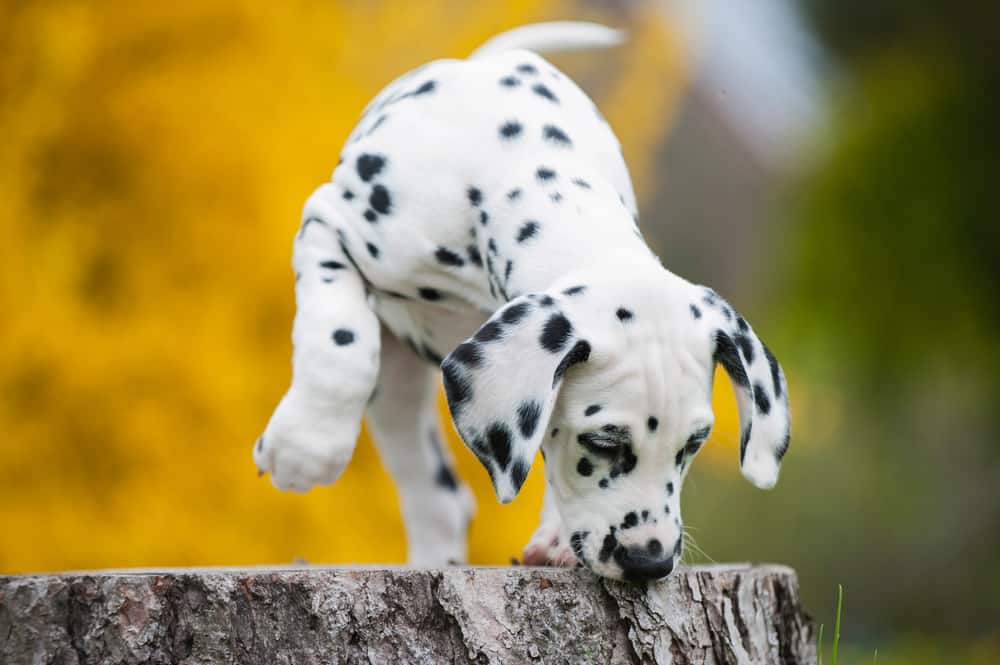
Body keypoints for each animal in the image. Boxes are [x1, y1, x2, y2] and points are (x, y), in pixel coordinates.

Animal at [254, 22, 792, 580]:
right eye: (604, 441)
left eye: (693, 443)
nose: (651, 562)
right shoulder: (328, 224)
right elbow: (340, 344)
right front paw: (306, 445)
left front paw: (556, 537)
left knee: (443, 500)